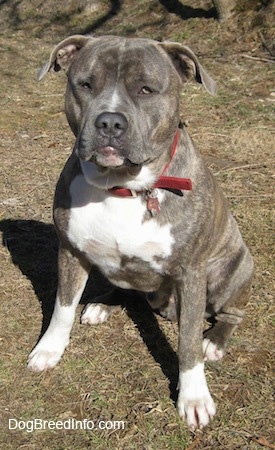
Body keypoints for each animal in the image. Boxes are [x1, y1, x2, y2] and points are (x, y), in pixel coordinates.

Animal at [28, 36, 254, 428]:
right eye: (85, 84)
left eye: (146, 90)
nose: (109, 122)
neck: (123, 187)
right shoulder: (70, 251)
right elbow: (62, 307)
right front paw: (49, 349)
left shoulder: (191, 274)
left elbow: (188, 343)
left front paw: (194, 397)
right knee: (128, 291)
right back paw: (102, 305)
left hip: (233, 269)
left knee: (230, 315)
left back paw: (215, 340)